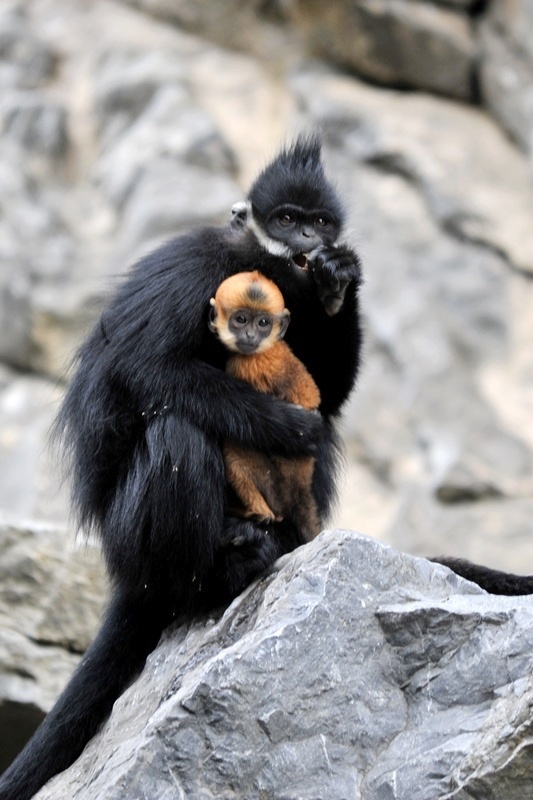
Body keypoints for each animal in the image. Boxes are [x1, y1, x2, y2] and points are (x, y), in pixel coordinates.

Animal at [209, 272, 320, 540]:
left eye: (262, 323)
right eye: (241, 320)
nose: (251, 335)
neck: (265, 348)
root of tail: (299, 491)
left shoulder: (245, 366)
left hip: (275, 486)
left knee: (235, 450)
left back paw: (260, 513)